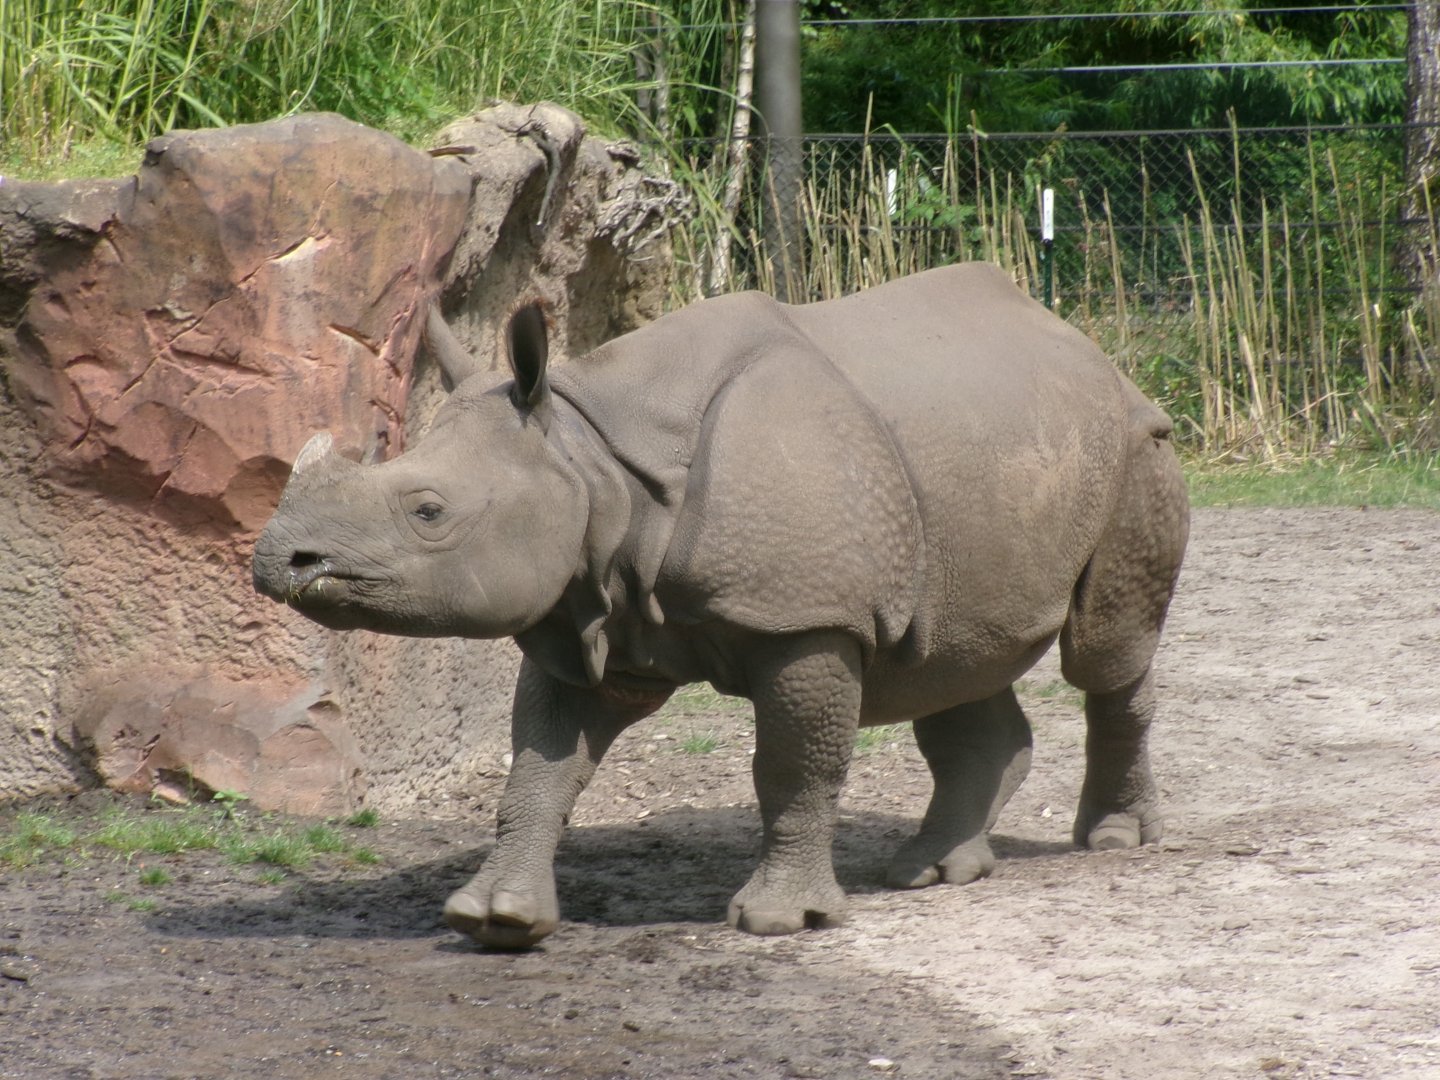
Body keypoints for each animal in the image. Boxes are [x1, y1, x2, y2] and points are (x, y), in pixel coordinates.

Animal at [253, 263, 1188, 948]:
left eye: (428, 511)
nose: (276, 559)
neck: (589, 454)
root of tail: (1085, 345)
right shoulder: (588, 613)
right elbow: (539, 770)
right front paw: (495, 919)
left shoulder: (808, 619)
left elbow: (794, 766)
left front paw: (780, 922)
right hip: (981, 466)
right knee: (947, 657)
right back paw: (930, 869)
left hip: (1136, 444)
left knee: (1102, 653)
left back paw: (1113, 839)